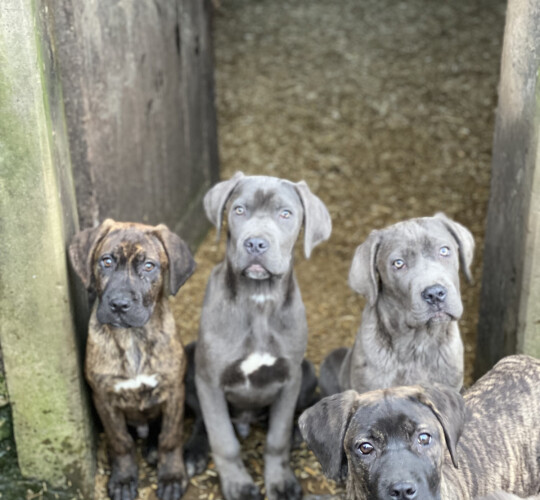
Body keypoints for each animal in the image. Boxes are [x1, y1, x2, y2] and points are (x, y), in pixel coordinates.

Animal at [69, 221, 195, 500]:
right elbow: (121, 442)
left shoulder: (173, 391)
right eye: (106, 261)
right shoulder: (104, 397)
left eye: (149, 266)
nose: (119, 304)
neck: (132, 338)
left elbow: (170, 437)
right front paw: (124, 479)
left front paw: (172, 476)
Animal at [185, 173, 330, 500]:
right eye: (239, 210)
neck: (259, 300)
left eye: (285, 214)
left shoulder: (289, 378)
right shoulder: (209, 380)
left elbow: (277, 439)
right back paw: (194, 452)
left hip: (306, 370)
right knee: (202, 421)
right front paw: (238, 485)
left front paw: (280, 482)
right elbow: (223, 439)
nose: (255, 243)